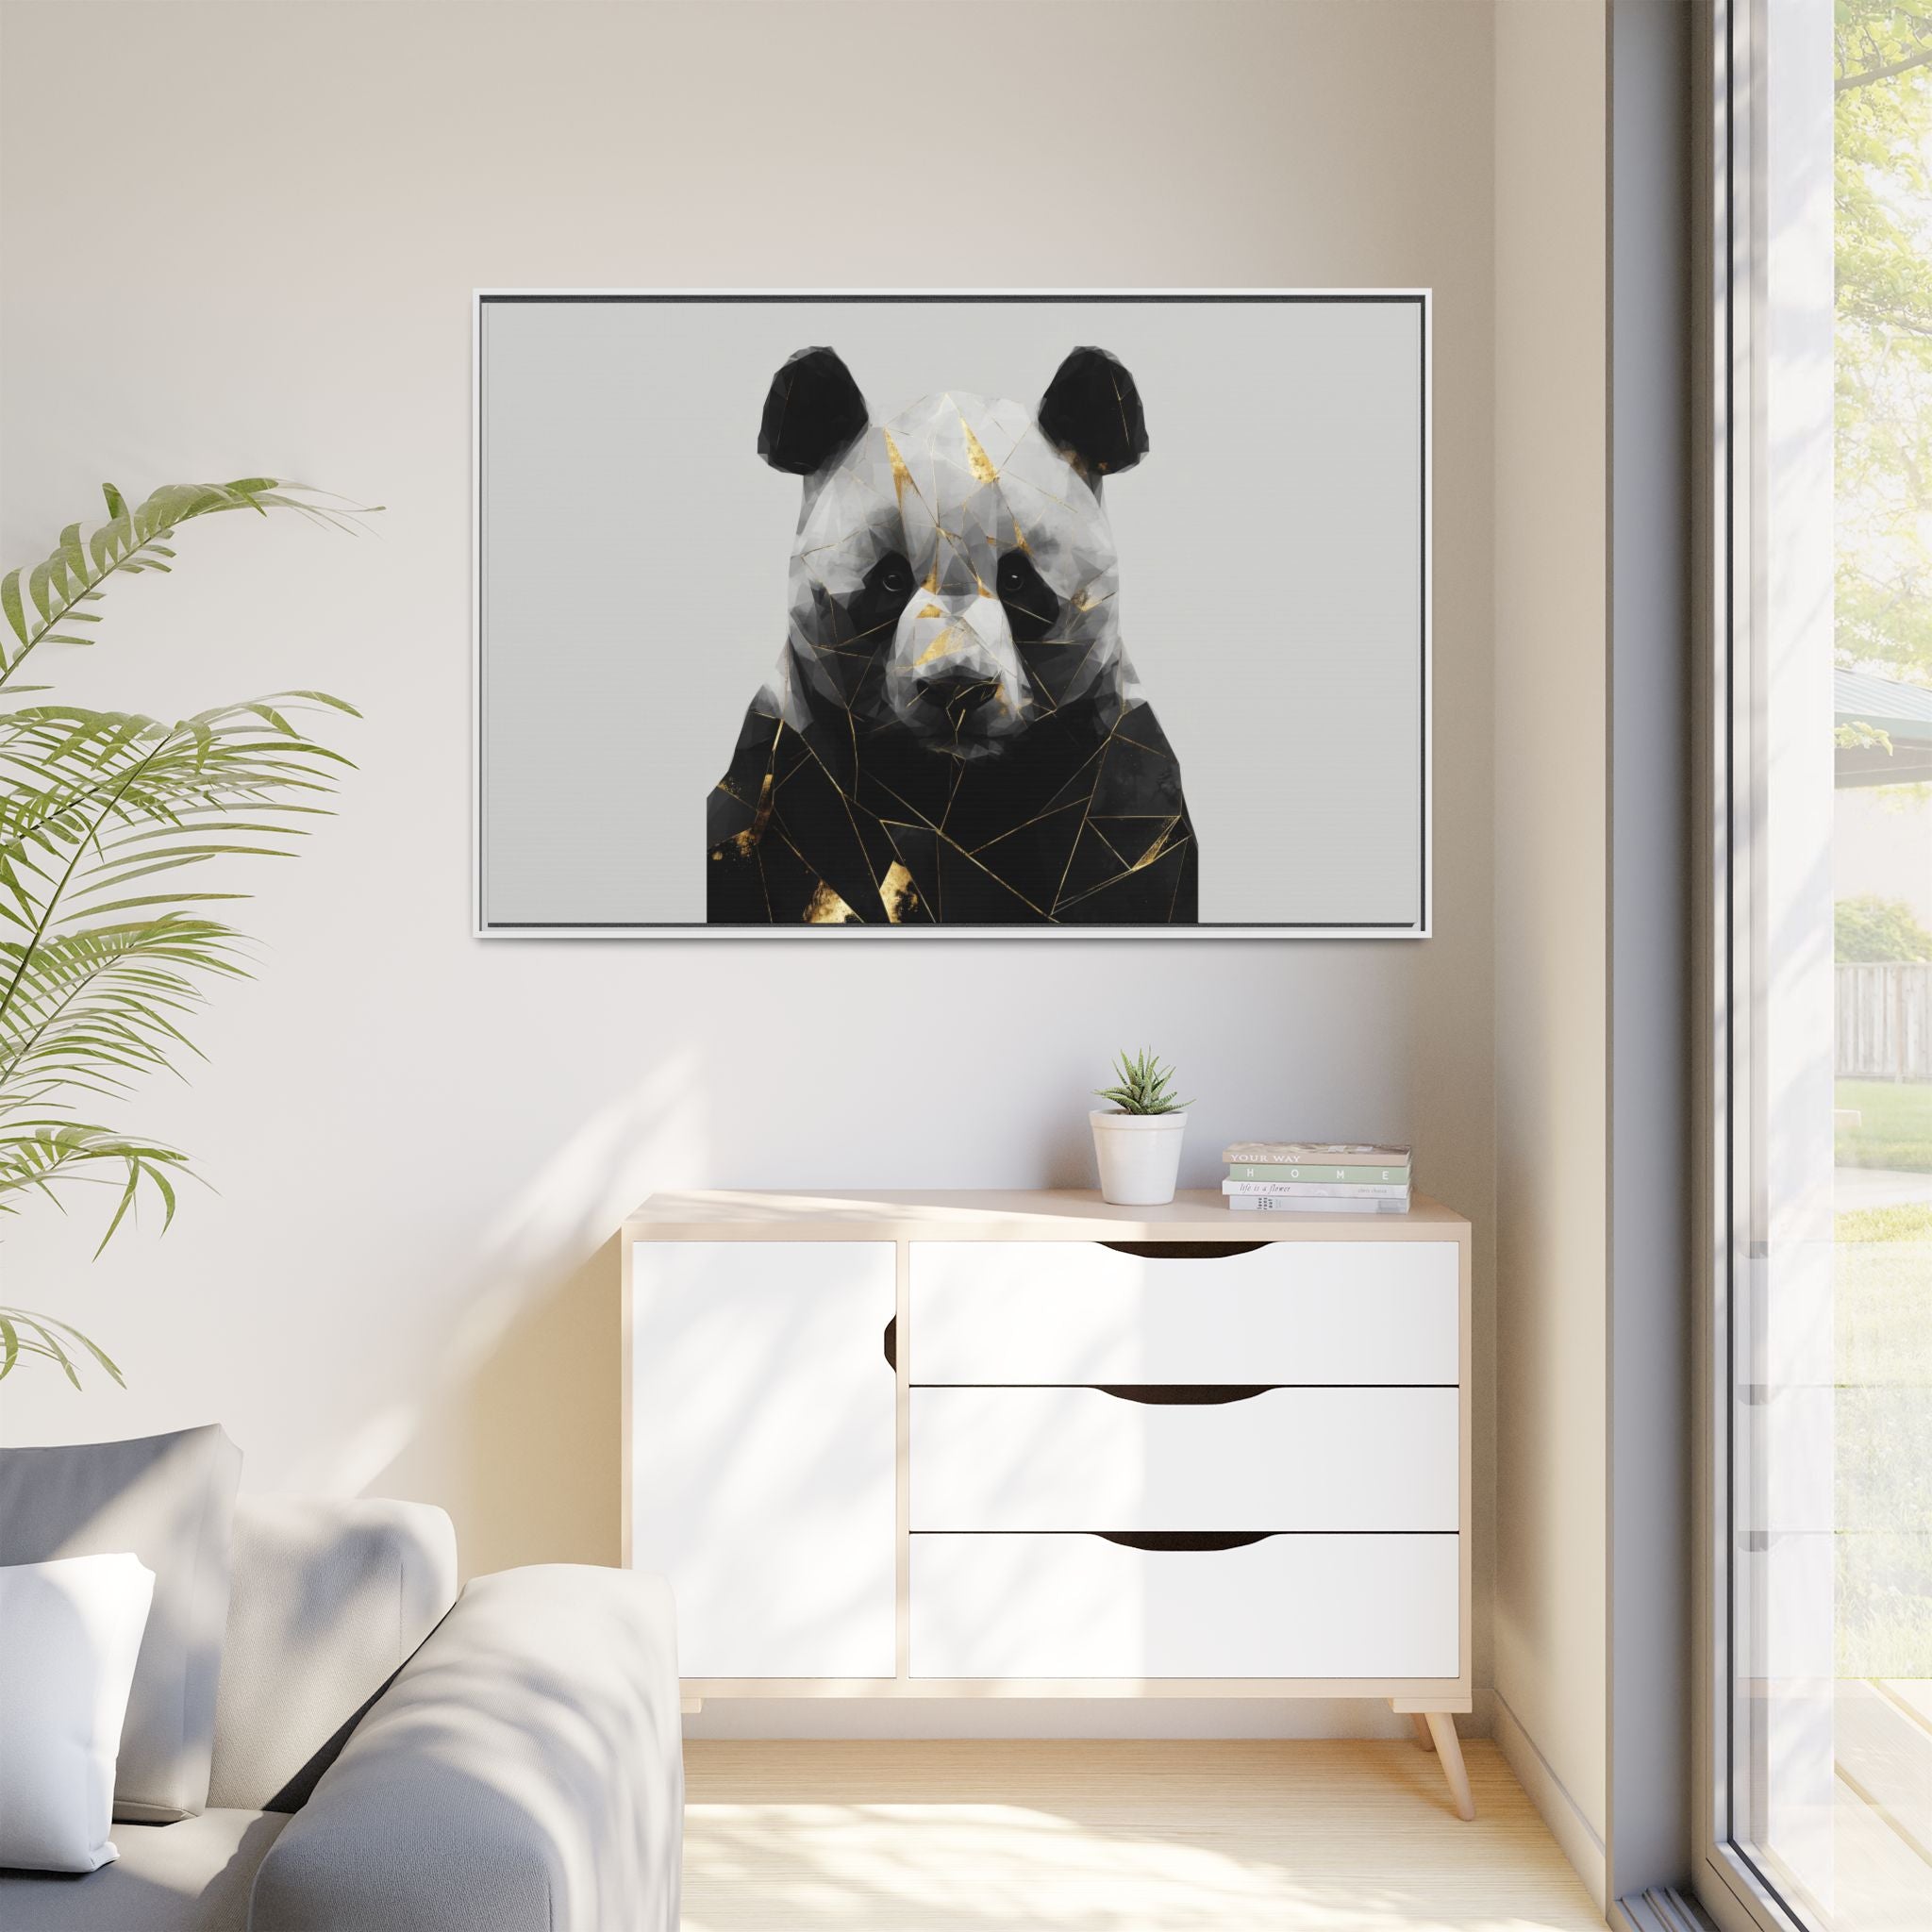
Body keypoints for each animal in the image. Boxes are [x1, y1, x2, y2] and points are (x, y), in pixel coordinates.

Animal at [706, 345, 1197, 925]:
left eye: (1017, 580)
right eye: (891, 579)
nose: (957, 689)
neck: (953, 792)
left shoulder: (1120, 785)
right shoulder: (785, 773)